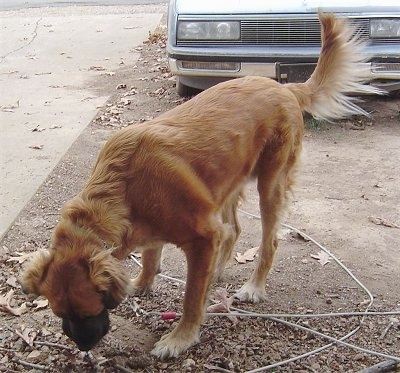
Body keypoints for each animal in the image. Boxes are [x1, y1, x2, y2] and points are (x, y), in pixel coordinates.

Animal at [19, 13, 382, 358]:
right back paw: (219, 271)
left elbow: (192, 297)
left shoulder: (202, 238)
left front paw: (181, 338)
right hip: (225, 183)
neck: (123, 189)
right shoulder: (160, 229)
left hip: (270, 184)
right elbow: (150, 257)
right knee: (233, 229)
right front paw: (141, 283)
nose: (83, 347)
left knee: (269, 241)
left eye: (88, 311)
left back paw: (253, 287)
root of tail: (284, 88)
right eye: (59, 313)